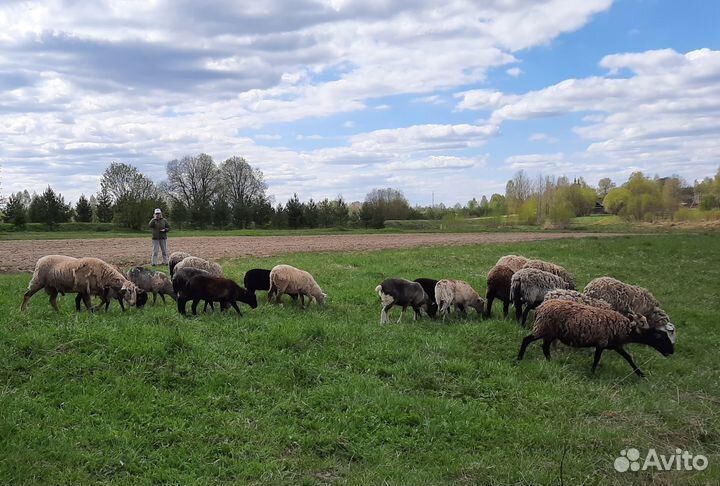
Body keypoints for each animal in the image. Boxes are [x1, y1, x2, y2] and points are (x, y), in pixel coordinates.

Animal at [517, 300, 676, 377]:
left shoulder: (616, 345)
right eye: (660, 338)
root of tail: (540, 308)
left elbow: (629, 358)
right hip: (543, 327)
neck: (625, 329)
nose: (672, 352)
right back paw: (519, 358)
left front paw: (640, 374)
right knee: (526, 340)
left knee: (545, 347)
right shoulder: (601, 342)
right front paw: (592, 373)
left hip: (551, 332)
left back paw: (551, 362)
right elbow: (596, 358)